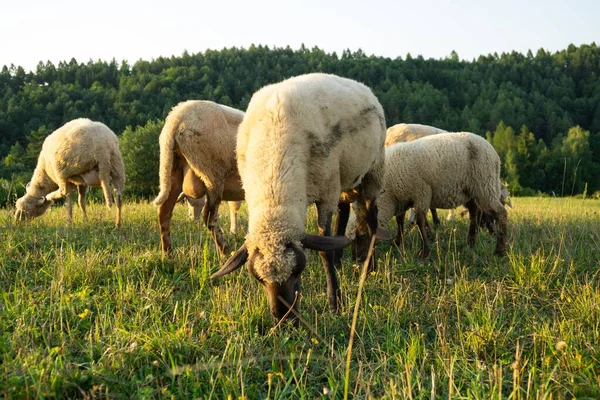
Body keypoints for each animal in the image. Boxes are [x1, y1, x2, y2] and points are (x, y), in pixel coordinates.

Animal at [154, 100, 245, 256]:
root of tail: (176, 119)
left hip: (172, 168)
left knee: (164, 212)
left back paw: (168, 254)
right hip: (213, 175)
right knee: (209, 216)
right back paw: (225, 251)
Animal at [211, 72, 386, 322]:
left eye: (298, 270)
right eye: (258, 278)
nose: (284, 318)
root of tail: (362, 87)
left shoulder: (325, 192)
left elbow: (323, 249)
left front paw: (335, 302)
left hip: (372, 170)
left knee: (371, 218)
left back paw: (368, 267)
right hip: (342, 178)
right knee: (343, 211)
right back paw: (339, 261)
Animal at [350, 131, 508, 260]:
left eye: (362, 235)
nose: (356, 258)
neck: (386, 194)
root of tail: (494, 153)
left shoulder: (422, 192)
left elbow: (420, 221)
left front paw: (424, 252)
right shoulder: (401, 198)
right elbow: (400, 221)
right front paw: (398, 242)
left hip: (485, 186)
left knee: (501, 213)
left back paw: (500, 250)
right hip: (470, 191)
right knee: (474, 213)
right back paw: (471, 242)